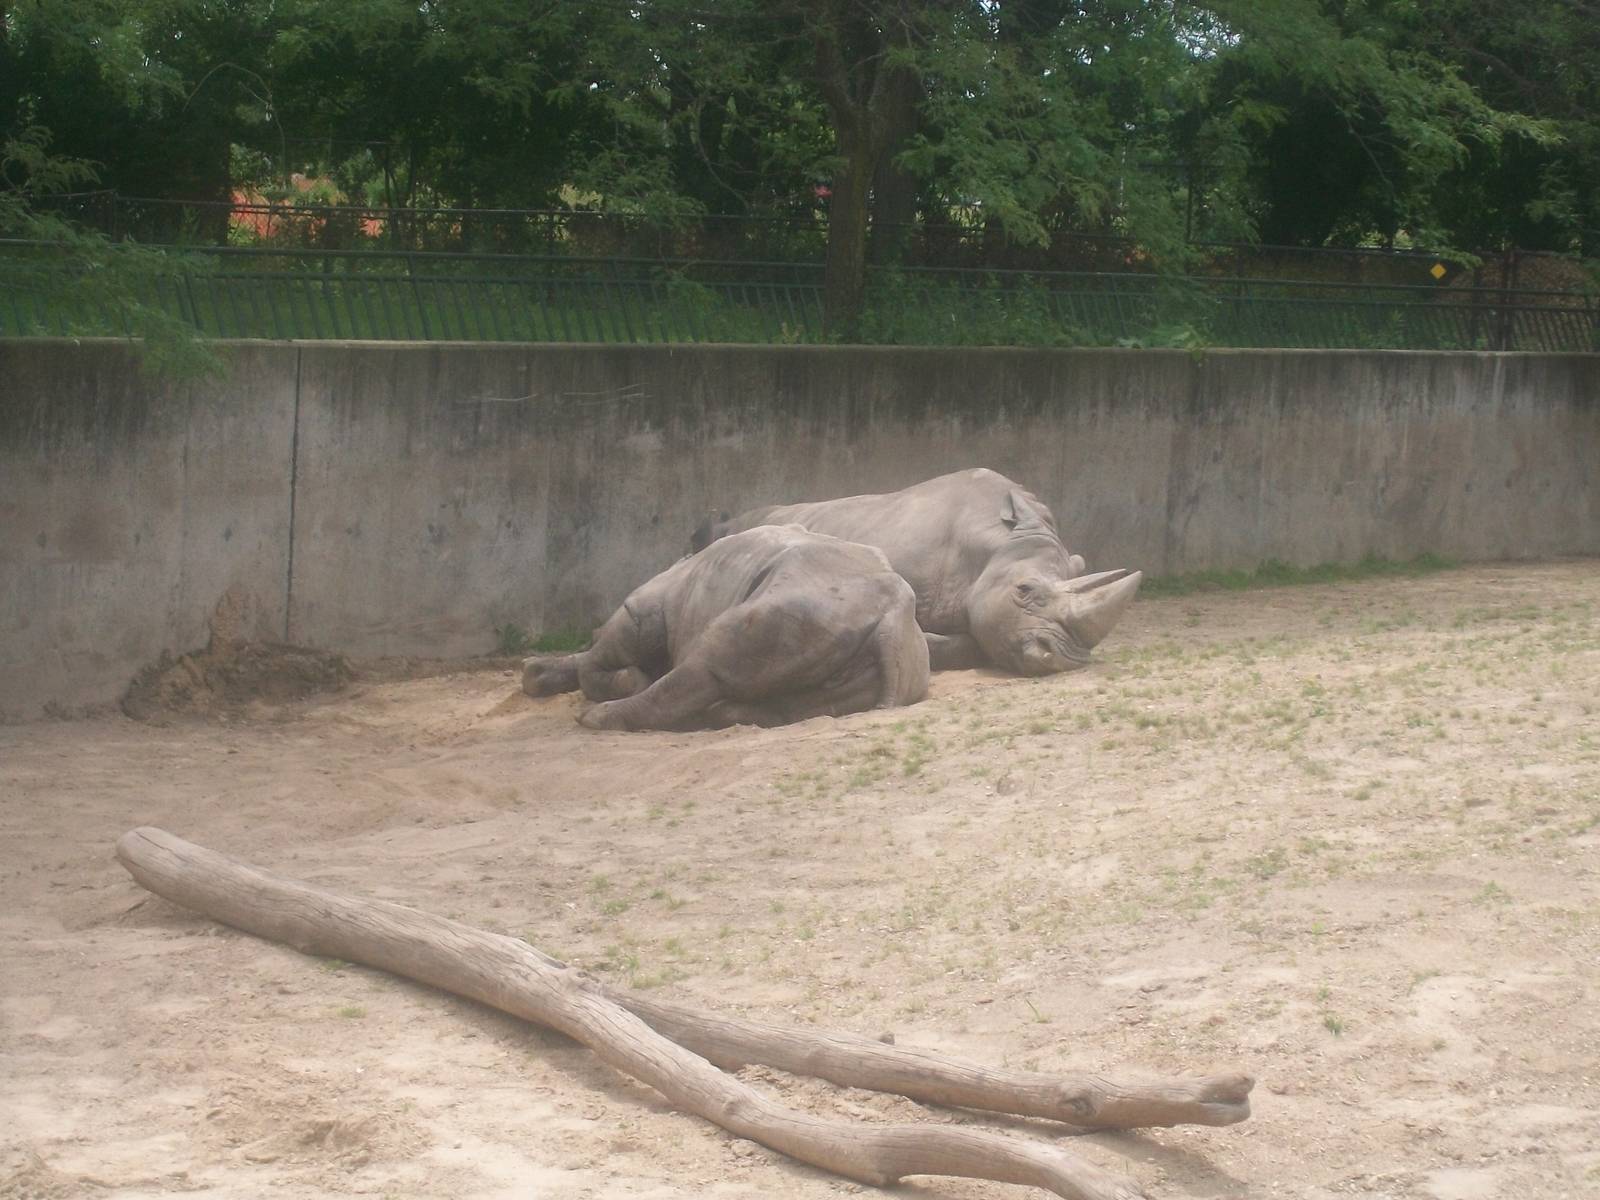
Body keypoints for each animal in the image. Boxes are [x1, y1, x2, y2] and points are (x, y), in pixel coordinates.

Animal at [523, 525, 929, 731]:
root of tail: (893, 617)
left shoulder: (640, 612)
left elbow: (596, 661)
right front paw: (536, 675)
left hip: (799, 609)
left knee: (707, 666)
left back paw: (592, 717)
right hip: (862, 645)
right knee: (783, 705)